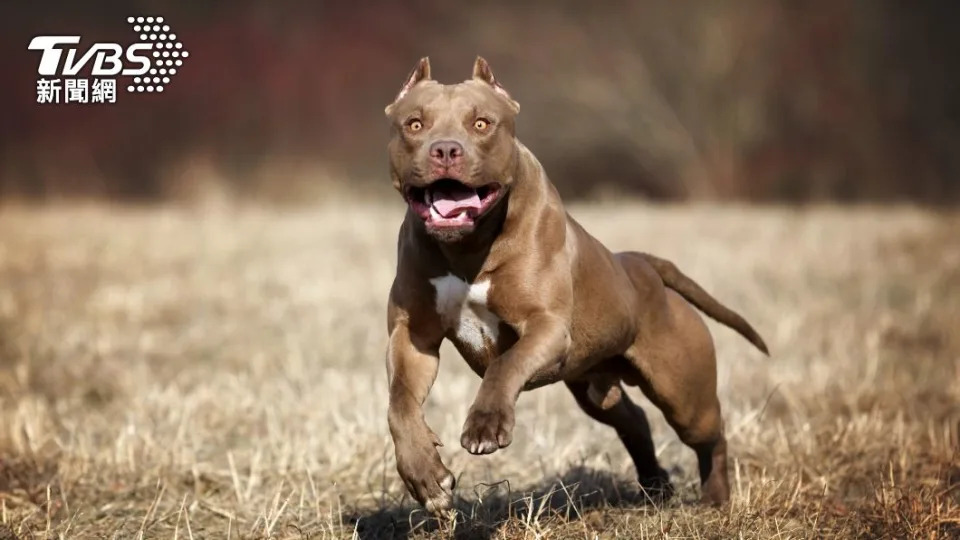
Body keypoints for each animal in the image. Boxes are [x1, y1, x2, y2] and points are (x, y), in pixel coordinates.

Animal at [382, 57, 764, 512]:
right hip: (595, 387)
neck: (467, 247)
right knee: (634, 420)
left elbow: (504, 363)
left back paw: (715, 498)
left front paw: (486, 425)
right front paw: (424, 475)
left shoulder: (545, 326)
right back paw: (655, 487)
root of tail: (641, 264)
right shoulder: (413, 337)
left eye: (481, 123)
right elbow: (399, 403)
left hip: (684, 396)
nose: (444, 149)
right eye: (414, 124)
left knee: (712, 435)